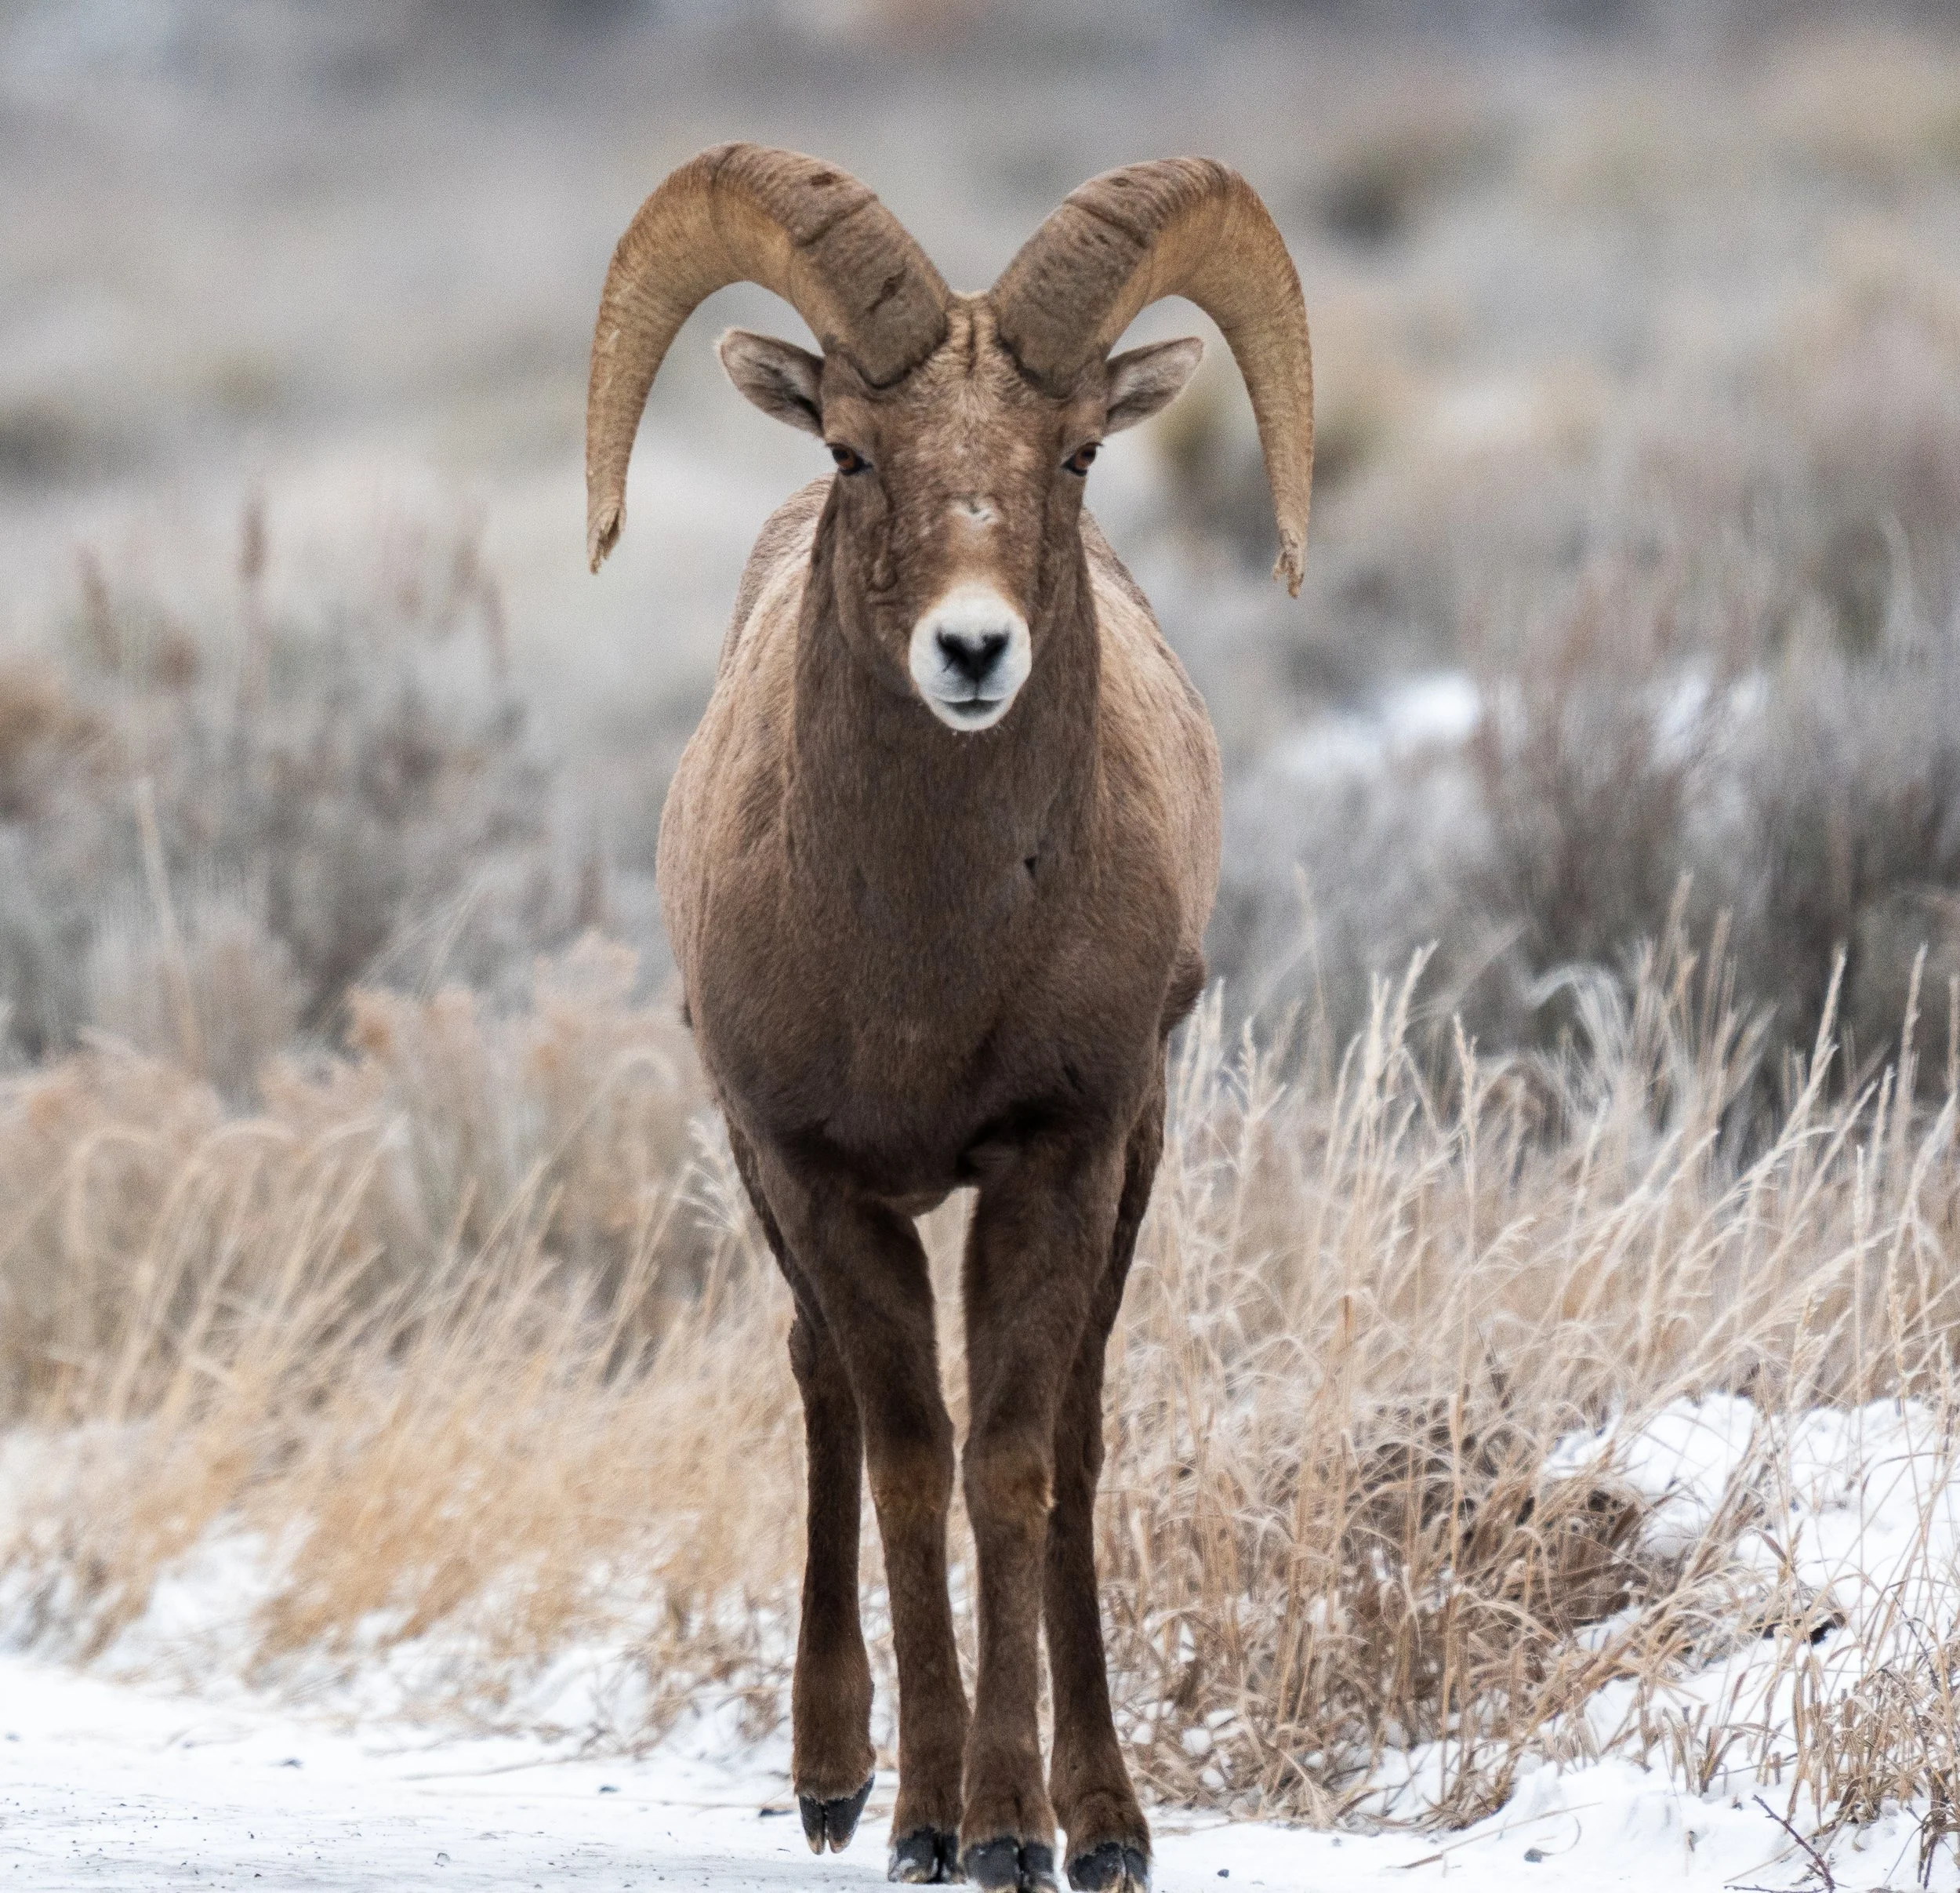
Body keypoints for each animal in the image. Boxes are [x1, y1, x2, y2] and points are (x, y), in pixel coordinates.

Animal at [586, 143, 1312, 1893]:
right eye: (855, 448)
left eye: (1079, 453)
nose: (973, 650)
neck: (922, 965)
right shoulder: (815, 1177)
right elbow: (911, 1455)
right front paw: (921, 1815)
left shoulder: (1056, 1157)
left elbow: (1016, 1461)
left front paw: (1022, 1827)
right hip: (771, 1191)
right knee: (827, 1400)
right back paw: (834, 1777)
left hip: (1132, 1167)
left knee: (1076, 1447)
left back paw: (1098, 1818)